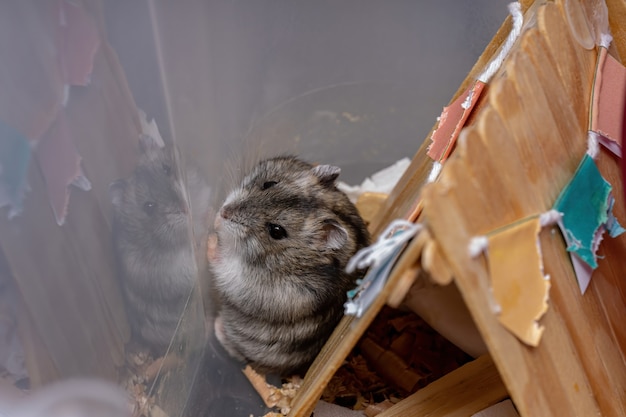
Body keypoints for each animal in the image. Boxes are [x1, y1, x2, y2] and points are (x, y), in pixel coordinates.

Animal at [210, 154, 368, 376]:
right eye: (269, 183)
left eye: (276, 231)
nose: (224, 212)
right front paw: (215, 219)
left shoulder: (248, 282)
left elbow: (223, 265)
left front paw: (210, 240)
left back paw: (218, 325)